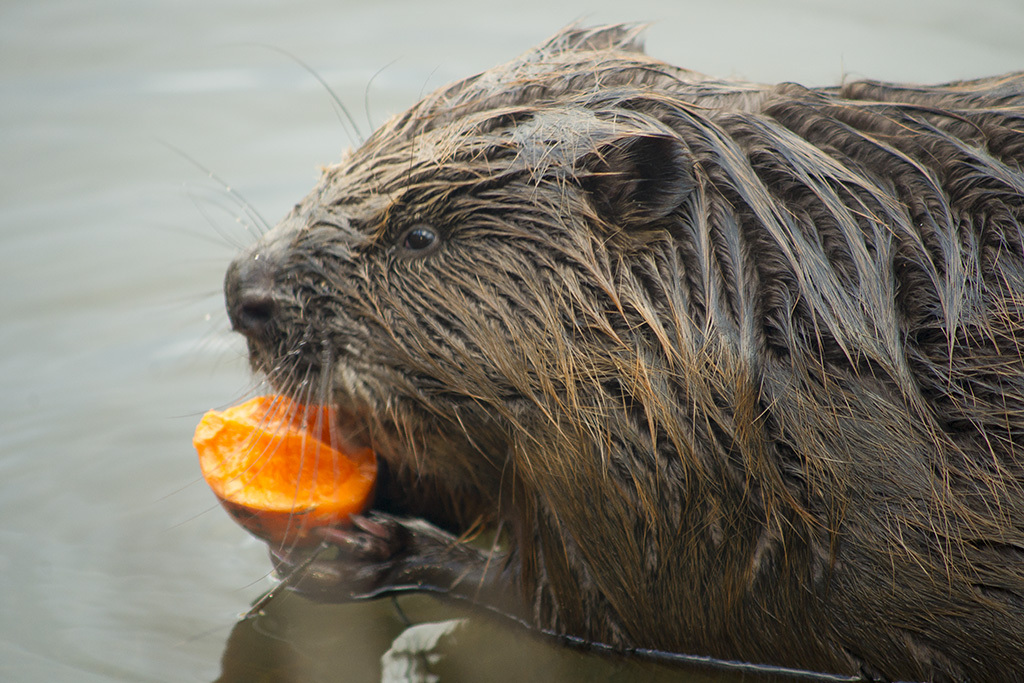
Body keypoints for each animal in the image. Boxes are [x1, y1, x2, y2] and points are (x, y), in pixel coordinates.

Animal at [226, 24, 1024, 683]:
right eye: (340, 165)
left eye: (419, 235)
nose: (243, 292)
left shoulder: (694, 497)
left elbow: (591, 608)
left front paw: (363, 548)